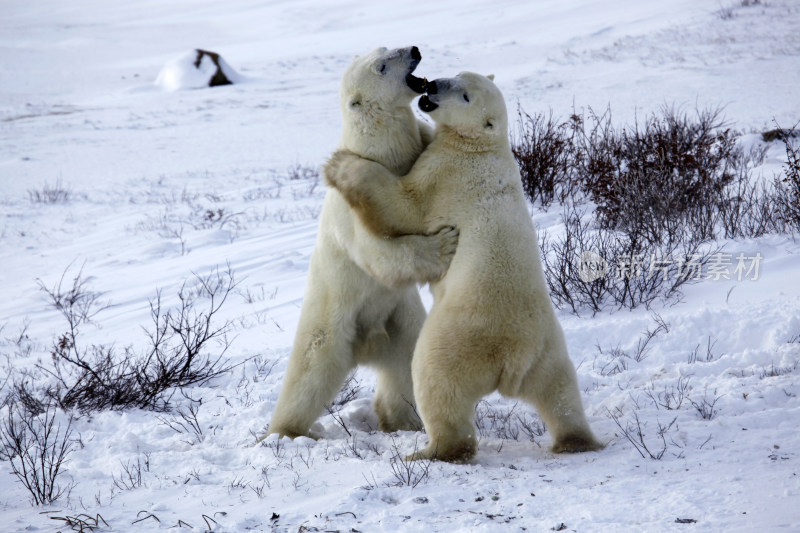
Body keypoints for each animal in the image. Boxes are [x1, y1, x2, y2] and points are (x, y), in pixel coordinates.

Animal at [268, 45, 456, 438]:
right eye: (382, 65)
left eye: (387, 47)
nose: (414, 49)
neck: (379, 149)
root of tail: (366, 345)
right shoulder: (352, 213)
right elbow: (380, 250)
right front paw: (443, 245)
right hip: (332, 323)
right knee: (308, 376)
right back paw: (284, 432)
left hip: (398, 322)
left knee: (406, 366)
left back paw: (403, 420)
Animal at [324, 70, 600, 462]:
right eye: (454, 75)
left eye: (466, 95)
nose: (432, 85)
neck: (482, 147)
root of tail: (511, 358)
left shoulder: (447, 175)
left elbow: (403, 205)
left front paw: (341, 164)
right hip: (547, 350)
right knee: (560, 393)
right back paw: (576, 440)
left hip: (456, 338)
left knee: (436, 383)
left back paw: (432, 449)